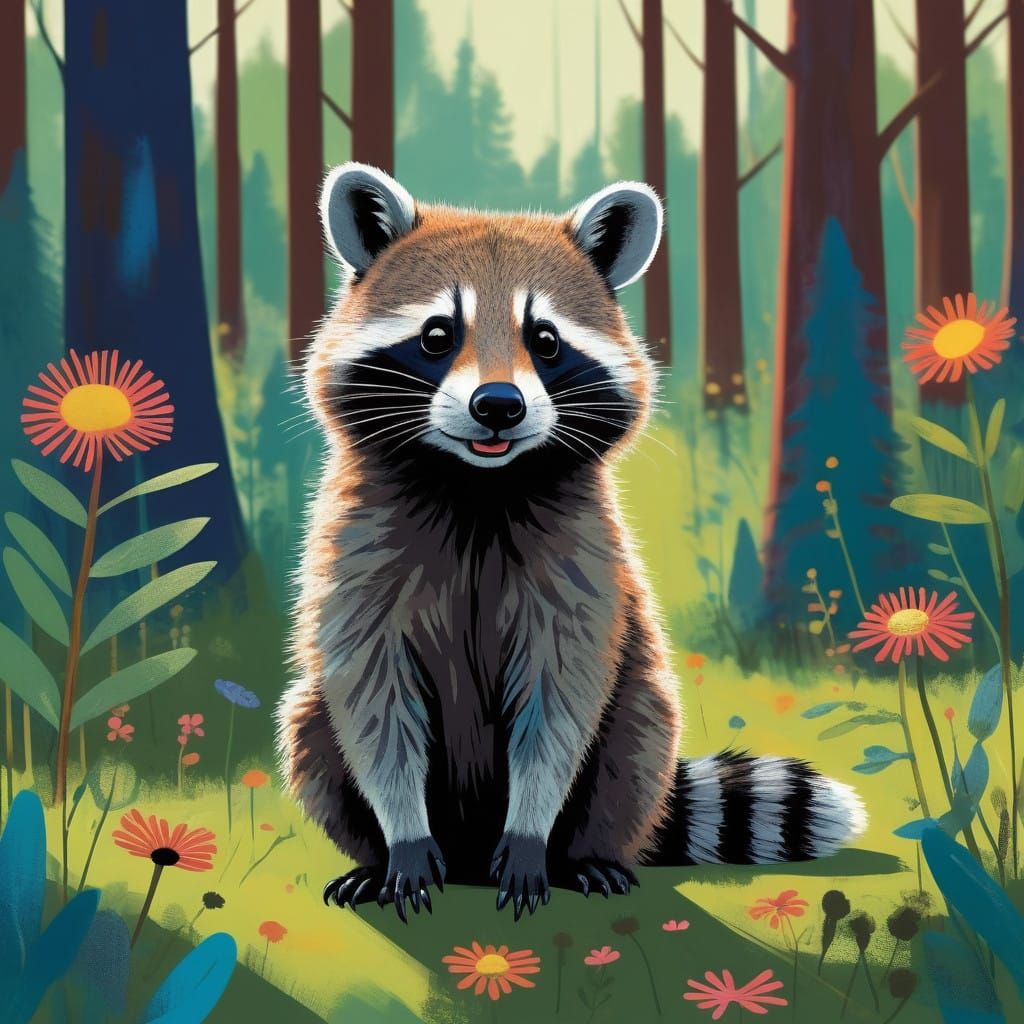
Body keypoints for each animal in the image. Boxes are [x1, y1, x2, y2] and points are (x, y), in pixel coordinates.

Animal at [276, 163, 865, 922]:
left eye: (546, 340)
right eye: (437, 335)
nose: (499, 406)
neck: (479, 486)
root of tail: (470, 855)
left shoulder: (583, 563)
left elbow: (562, 700)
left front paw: (531, 832)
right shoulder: (355, 551)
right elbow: (372, 699)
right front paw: (402, 836)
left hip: (639, 725)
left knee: (638, 731)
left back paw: (583, 855)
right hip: (314, 716)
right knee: (309, 721)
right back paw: (374, 857)